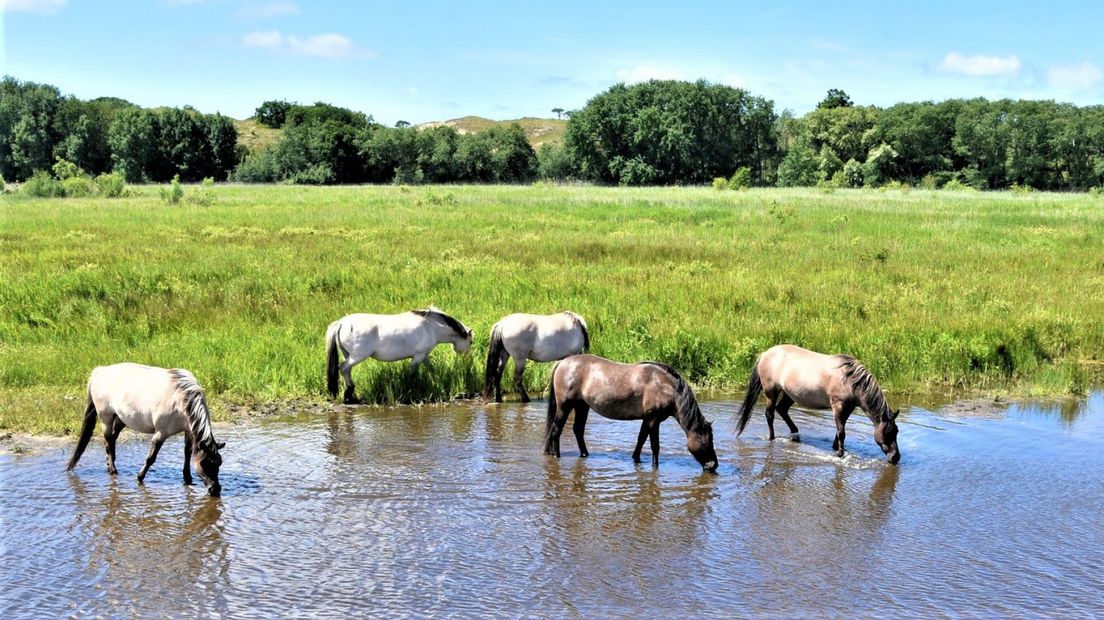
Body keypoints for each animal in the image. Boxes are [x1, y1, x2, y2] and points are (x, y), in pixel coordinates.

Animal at [65, 364, 225, 494]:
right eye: (205, 464)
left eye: (219, 463)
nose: (215, 490)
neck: (181, 398)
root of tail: (99, 371)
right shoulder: (160, 434)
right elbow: (151, 458)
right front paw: (140, 477)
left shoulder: (188, 431)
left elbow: (187, 453)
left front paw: (187, 478)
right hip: (107, 418)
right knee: (109, 439)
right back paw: (113, 470)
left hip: (121, 418)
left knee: (111, 440)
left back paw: (109, 464)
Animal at [322, 306, 470, 403]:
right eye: (471, 342)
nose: (466, 359)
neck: (430, 326)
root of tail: (341, 323)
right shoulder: (418, 356)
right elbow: (412, 373)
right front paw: (409, 389)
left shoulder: (424, 355)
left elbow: (431, 369)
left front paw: (436, 381)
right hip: (357, 356)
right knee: (343, 368)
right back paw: (348, 395)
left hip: (348, 354)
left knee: (347, 370)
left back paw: (350, 395)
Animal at [540, 353, 715, 467]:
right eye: (705, 441)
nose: (713, 465)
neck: (664, 386)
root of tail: (562, 362)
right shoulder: (654, 420)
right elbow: (655, 446)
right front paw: (655, 466)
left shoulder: (647, 419)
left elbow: (641, 439)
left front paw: (636, 458)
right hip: (565, 406)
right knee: (556, 430)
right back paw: (556, 455)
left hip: (582, 406)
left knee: (577, 430)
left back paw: (584, 454)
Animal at [737, 341, 900, 463]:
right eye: (887, 433)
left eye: (896, 432)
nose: (896, 458)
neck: (849, 380)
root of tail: (765, 354)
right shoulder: (838, 406)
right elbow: (841, 432)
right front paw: (840, 455)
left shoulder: (848, 408)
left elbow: (839, 430)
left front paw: (836, 448)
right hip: (771, 392)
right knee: (770, 414)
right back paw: (772, 438)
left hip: (790, 395)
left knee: (782, 410)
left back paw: (795, 436)